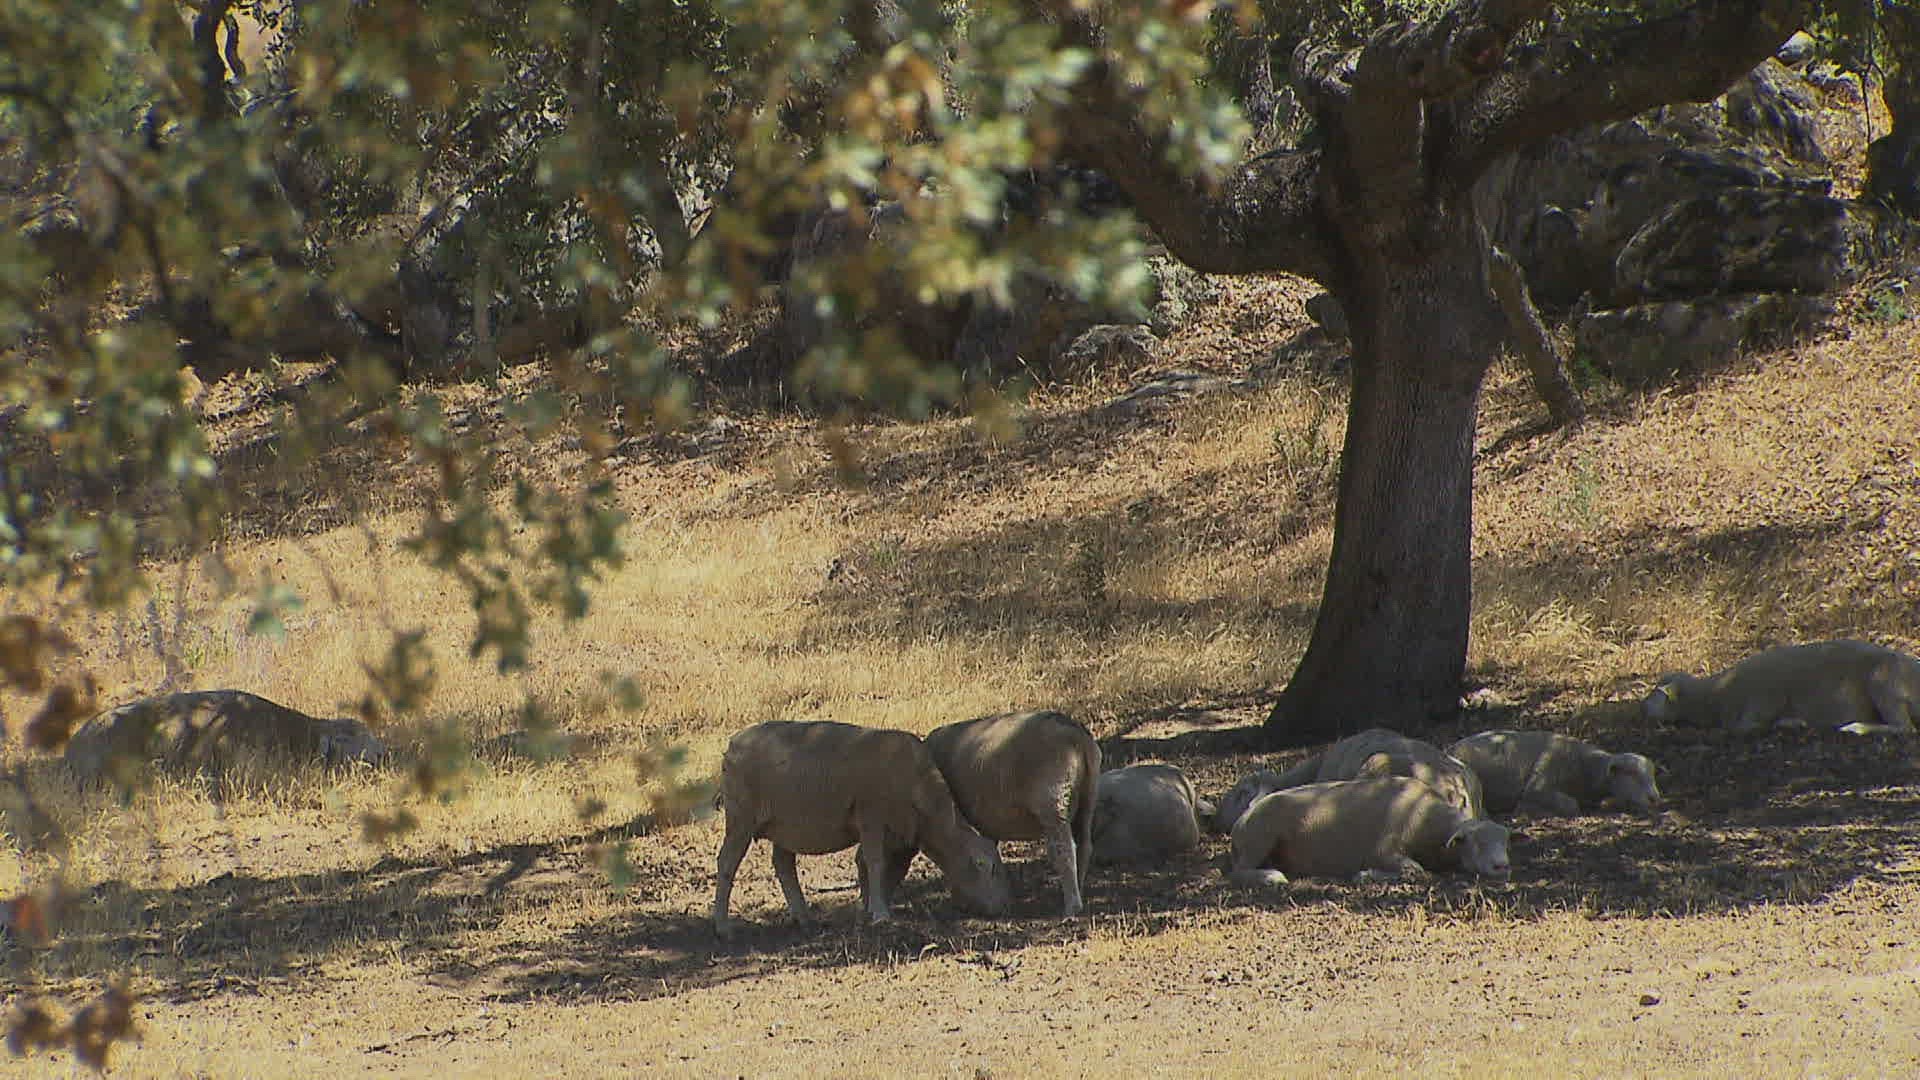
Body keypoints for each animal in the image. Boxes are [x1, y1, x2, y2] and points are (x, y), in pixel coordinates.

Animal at [711, 720, 1011, 939]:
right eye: (987, 867)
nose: (1002, 908)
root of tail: (732, 743)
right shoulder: (870, 816)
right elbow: (875, 863)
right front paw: (880, 914)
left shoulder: (899, 834)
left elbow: (877, 866)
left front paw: (869, 908)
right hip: (741, 816)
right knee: (726, 863)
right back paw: (722, 926)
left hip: (785, 824)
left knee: (784, 865)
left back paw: (803, 917)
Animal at [925, 710, 1101, 916]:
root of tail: (1078, 736)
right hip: (1088, 796)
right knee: (1085, 845)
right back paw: (1079, 890)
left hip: (1054, 801)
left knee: (1065, 850)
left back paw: (1072, 906)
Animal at [1226, 776, 1513, 886]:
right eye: (1474, 842)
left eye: (1506, 842)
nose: (1502, 866)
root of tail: (1242, 819)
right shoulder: (1382, 850)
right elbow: (1415, 870)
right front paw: (1365, 875)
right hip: (1260, 837)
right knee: (1237, 872)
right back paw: (1271, 877)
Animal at [1446, 730, 1661, 818]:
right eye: (1632, 774)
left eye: (1652, 775)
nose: (1654, 799)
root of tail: (1450, 748)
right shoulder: (1538, 785)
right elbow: (1571, 806)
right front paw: (1524, 809)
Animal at [1642, 640, 1920, 736]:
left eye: (1657, 694)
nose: (1640, 709)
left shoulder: (1764, 701)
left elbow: (1747, 727)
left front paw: (1791, 723)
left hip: (1883, 680)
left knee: (1905, 728)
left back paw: (1855, 727)